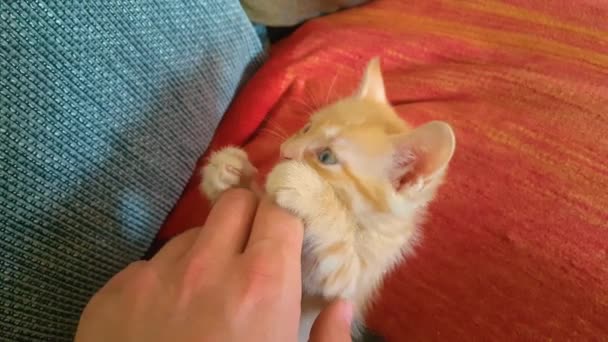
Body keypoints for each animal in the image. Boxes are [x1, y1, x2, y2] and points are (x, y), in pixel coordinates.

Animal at [202, 57, 454, 340]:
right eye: (307, 128)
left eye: (326, 157)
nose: (284, 152)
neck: (366, 222)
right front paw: (230, 172)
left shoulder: (348, 283)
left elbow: (336, 249)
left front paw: (303, 187)